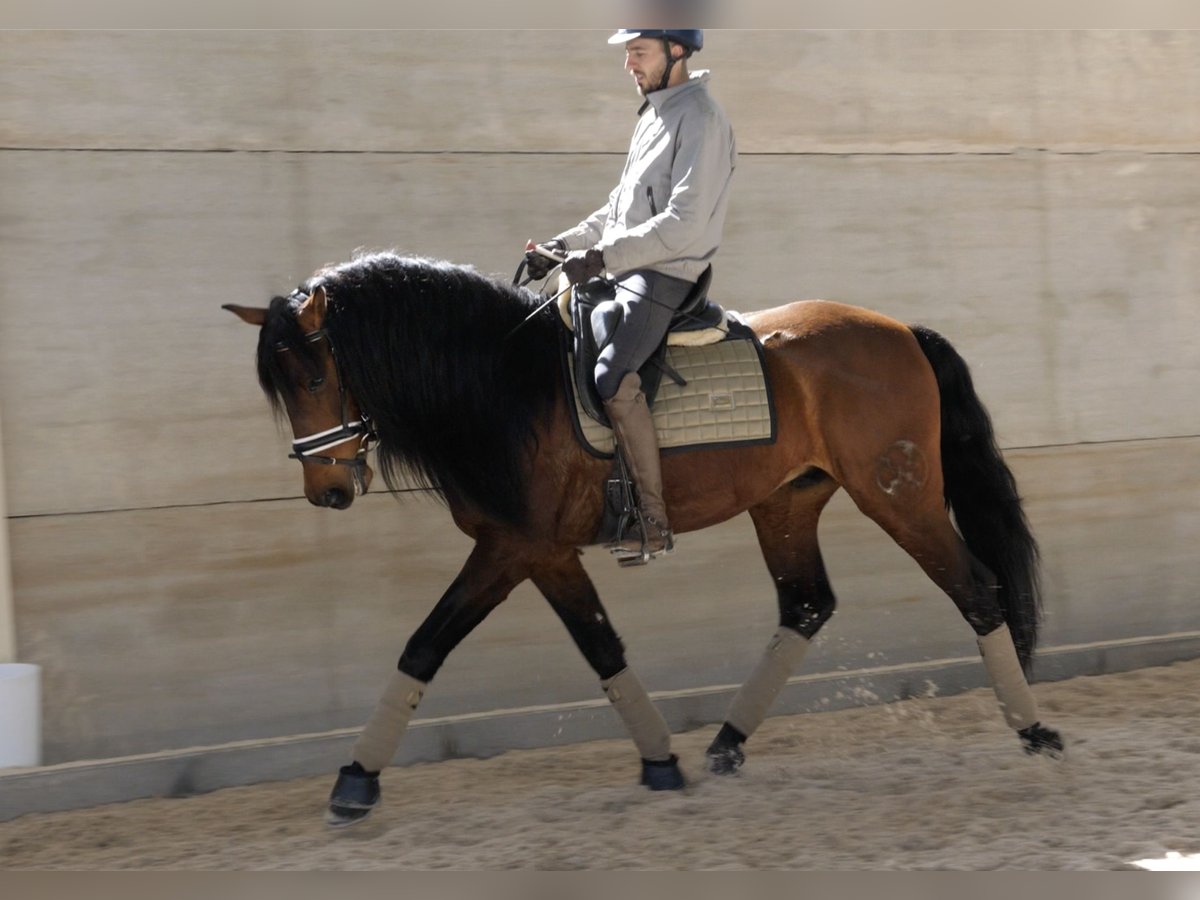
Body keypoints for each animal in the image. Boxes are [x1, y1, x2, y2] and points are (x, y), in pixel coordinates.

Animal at [223, 250, 1060, 830]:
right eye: (284, 387)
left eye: (315, 377)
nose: (327, 492)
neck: (501, 388)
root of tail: (901, 332)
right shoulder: (543, 552)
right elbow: (602, 648)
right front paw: (661, 762)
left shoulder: (511, 549)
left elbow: (426, 644)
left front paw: (354, 782)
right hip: (786, 503)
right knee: (807, 606)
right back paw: (726, 743)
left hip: (899, 497)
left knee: (978, 592)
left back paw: (1036, 731)